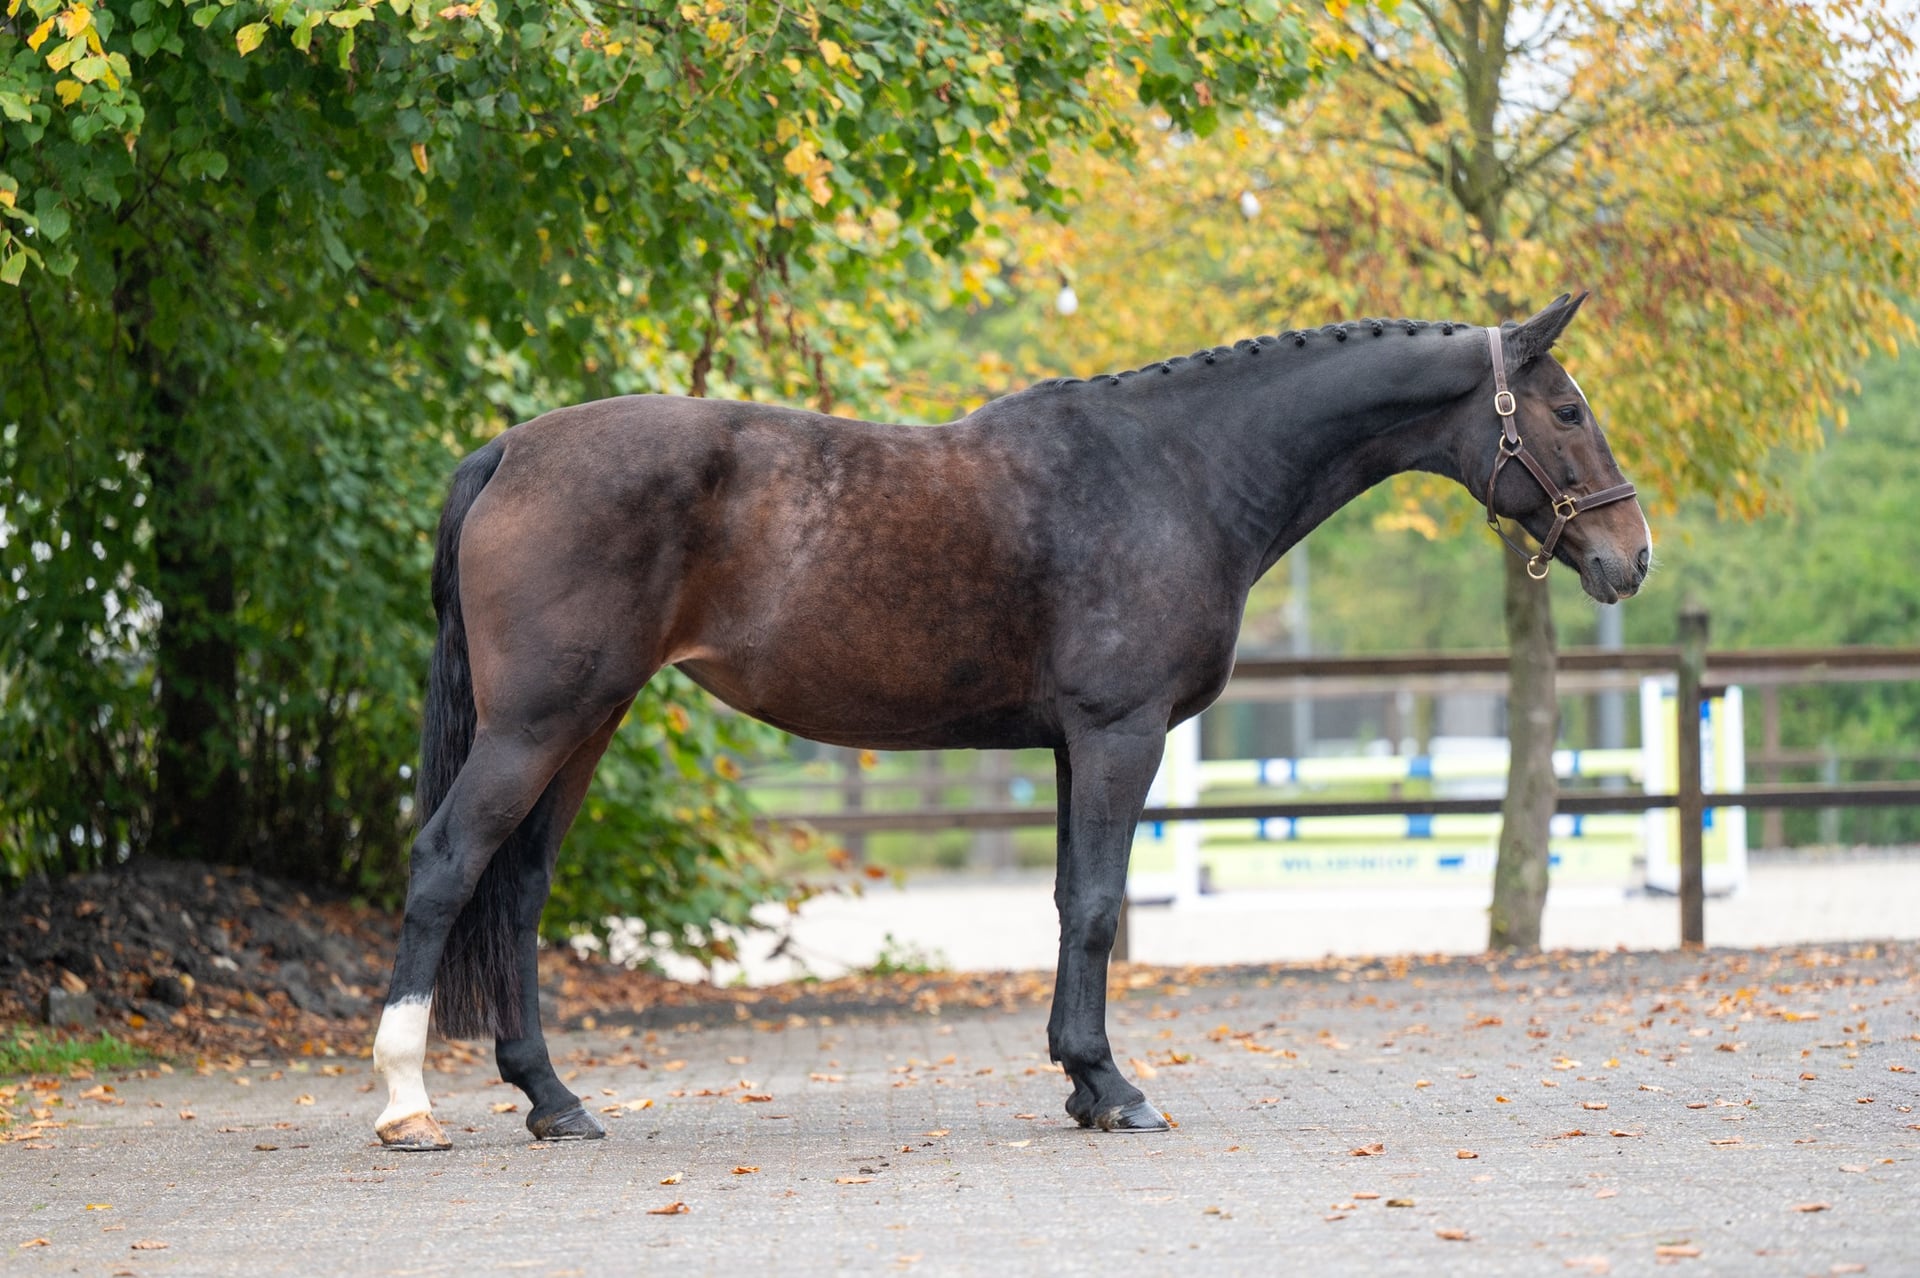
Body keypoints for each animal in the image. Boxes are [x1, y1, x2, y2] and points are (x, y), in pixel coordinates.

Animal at [371, 292, 1649, 1150]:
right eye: (1568, 408)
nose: (1630, 557)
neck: (1175, 472)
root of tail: (510, 449)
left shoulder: (1073, 746)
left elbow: (1069, 901)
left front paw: (1082, 1083)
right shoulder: (1122, 733)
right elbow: (1097, 907)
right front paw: (1112, 1088)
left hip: (585, 723)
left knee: (517, 889)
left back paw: (554, 1101)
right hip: (540, 722)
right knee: (444, 863)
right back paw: (407, 1105)